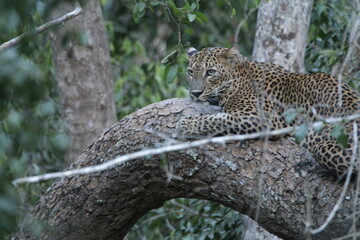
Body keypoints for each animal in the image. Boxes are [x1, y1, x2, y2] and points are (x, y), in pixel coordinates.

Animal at [177, 46, 360, 178]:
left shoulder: (263, 118)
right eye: (190, 72)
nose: (195, 93)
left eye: (210, 72)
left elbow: (218, 119)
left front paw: (186, 123)